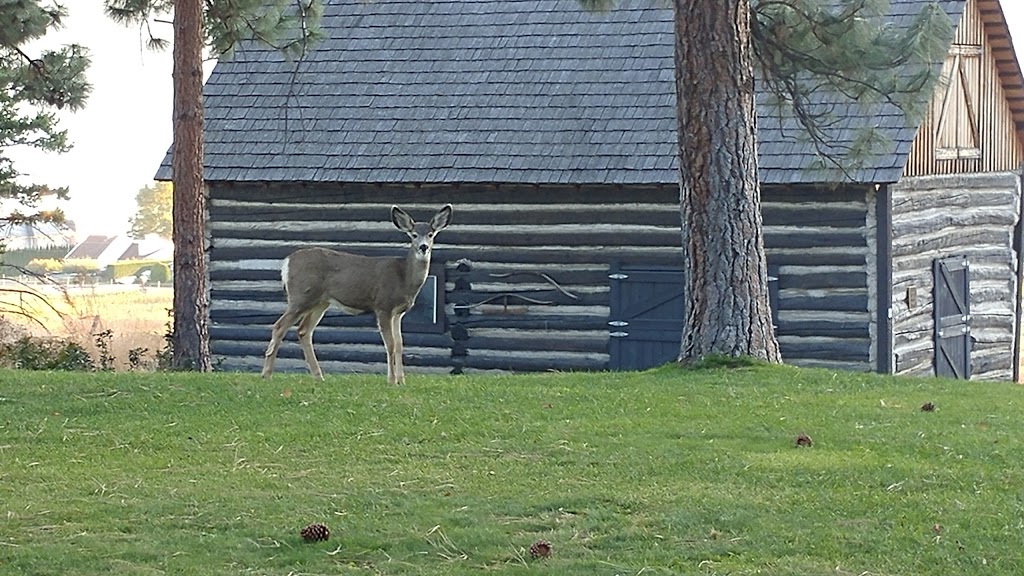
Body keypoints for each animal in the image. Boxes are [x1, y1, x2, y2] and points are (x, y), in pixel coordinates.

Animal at [262, 203, 454, 383]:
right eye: (413, 235)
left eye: (431, 234)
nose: (423, 247)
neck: (404, 278)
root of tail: (286, 262)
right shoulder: (383, 306)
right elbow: (390, 344)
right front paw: (391, 380)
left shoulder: (398, 312)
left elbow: (400, 344)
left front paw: (401, 380)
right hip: (301, 295)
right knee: (279, 326)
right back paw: (267, 374)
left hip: (320, 302)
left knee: (303, 331)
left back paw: (318, 376)